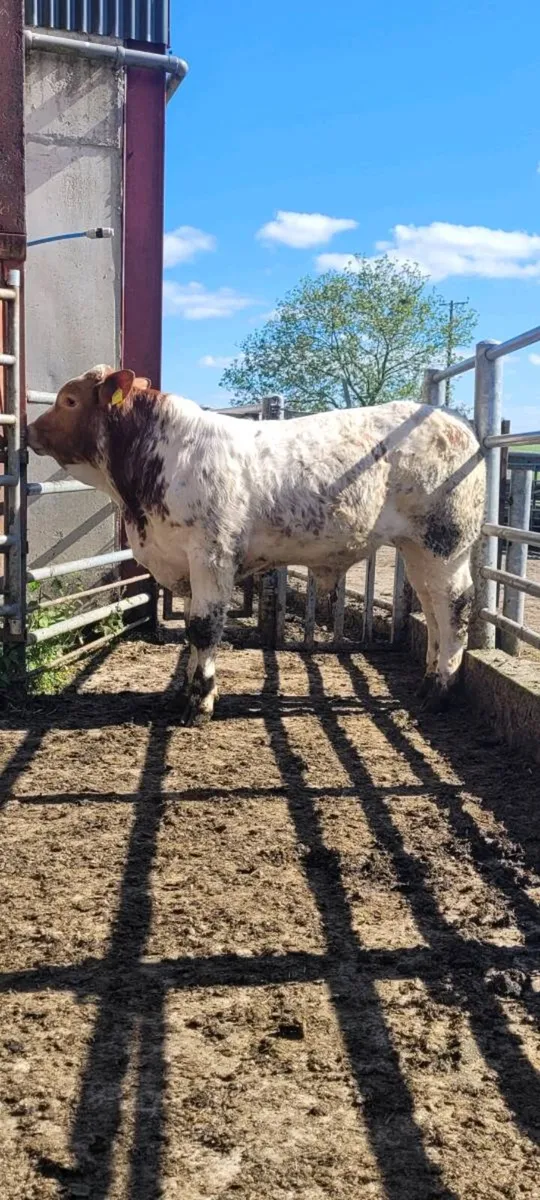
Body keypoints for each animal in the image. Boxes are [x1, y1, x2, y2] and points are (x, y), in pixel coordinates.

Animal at [27, 365, 485, 725]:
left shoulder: (211, 554)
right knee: (431, 607)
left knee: (454, 607)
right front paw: (186, 693)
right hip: (416, 548)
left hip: (446, 544)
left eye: (69, 400)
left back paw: (440, 690)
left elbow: (204, 627)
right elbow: (193, 629)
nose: (29, 431)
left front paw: (199, 703)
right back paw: (427, 681)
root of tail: (454, 422)